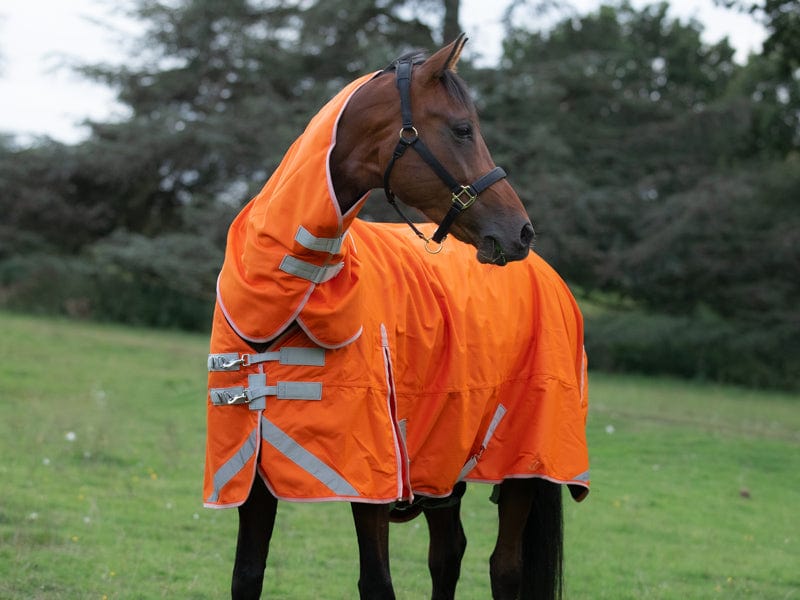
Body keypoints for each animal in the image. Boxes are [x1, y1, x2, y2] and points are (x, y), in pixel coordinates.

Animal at [204, 34, 590, 600]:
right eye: (462, 128)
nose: (520, 231)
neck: (285, 302)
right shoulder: (250, 476)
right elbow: (246, 576)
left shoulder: (372, 486)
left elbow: (376, 582)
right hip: (445, 463)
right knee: (448, 554)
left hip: (523, 467)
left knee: (504, 568)